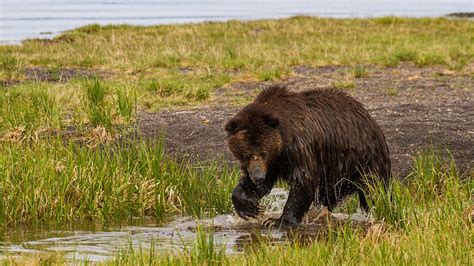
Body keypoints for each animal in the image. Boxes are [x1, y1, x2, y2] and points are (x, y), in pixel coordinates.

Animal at [224, 84, 390, 227]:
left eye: (263, 153)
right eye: (246, 154)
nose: (258, 177)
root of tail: (369, 117)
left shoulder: (298, 147)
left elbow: (303, 179)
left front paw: (278, 221)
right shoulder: (273, 162)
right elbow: (261, 184)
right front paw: (248, 207)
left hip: (362, 158)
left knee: (373, 187)